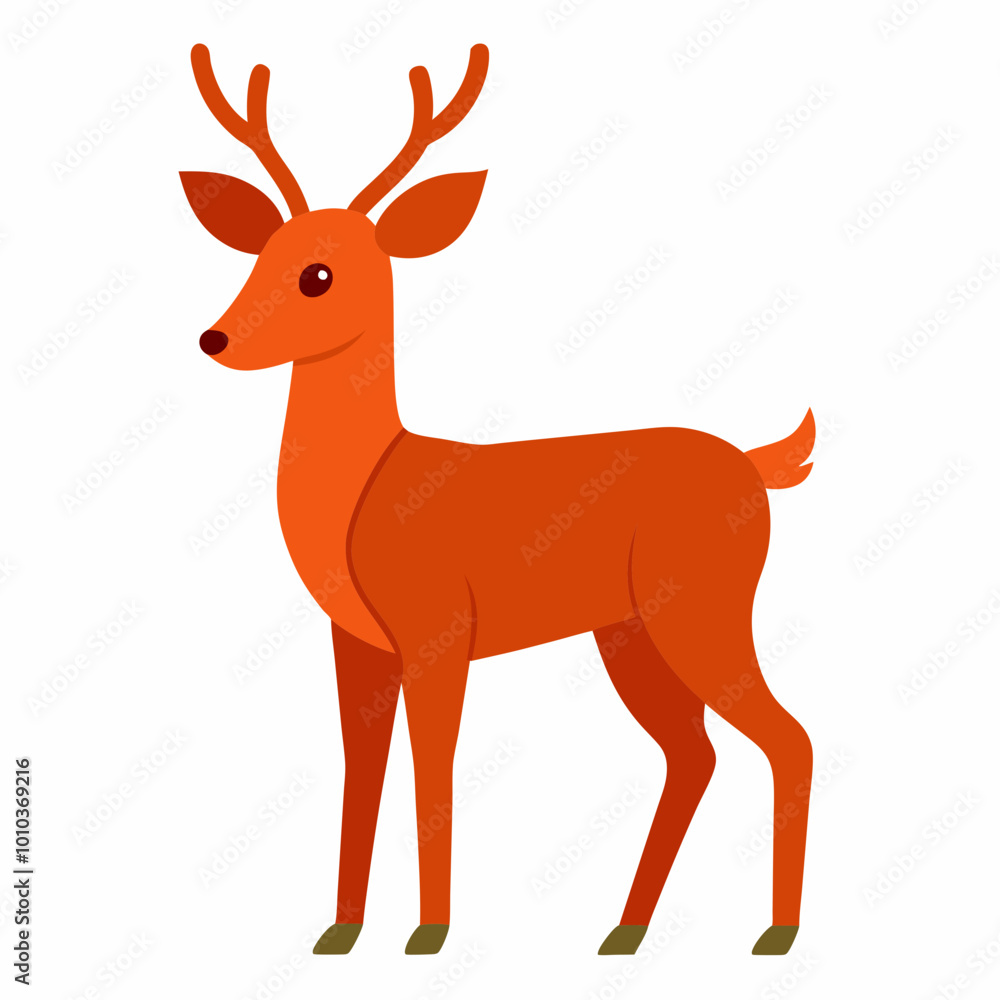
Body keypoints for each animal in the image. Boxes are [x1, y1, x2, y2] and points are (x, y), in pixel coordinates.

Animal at [180, 41, 816, 958]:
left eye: (319, 273)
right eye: (257, 253)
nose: (215, 337)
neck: (370, 488)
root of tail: (758, 466)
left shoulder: (439, 630)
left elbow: (433, 768)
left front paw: (430, 931)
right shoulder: (357, 642)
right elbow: (360, 770)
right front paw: (340, 930)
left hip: (704, 607)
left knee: (788, 739)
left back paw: (777, 933)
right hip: (628, 632)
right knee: (694, 755)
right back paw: (624, 930)